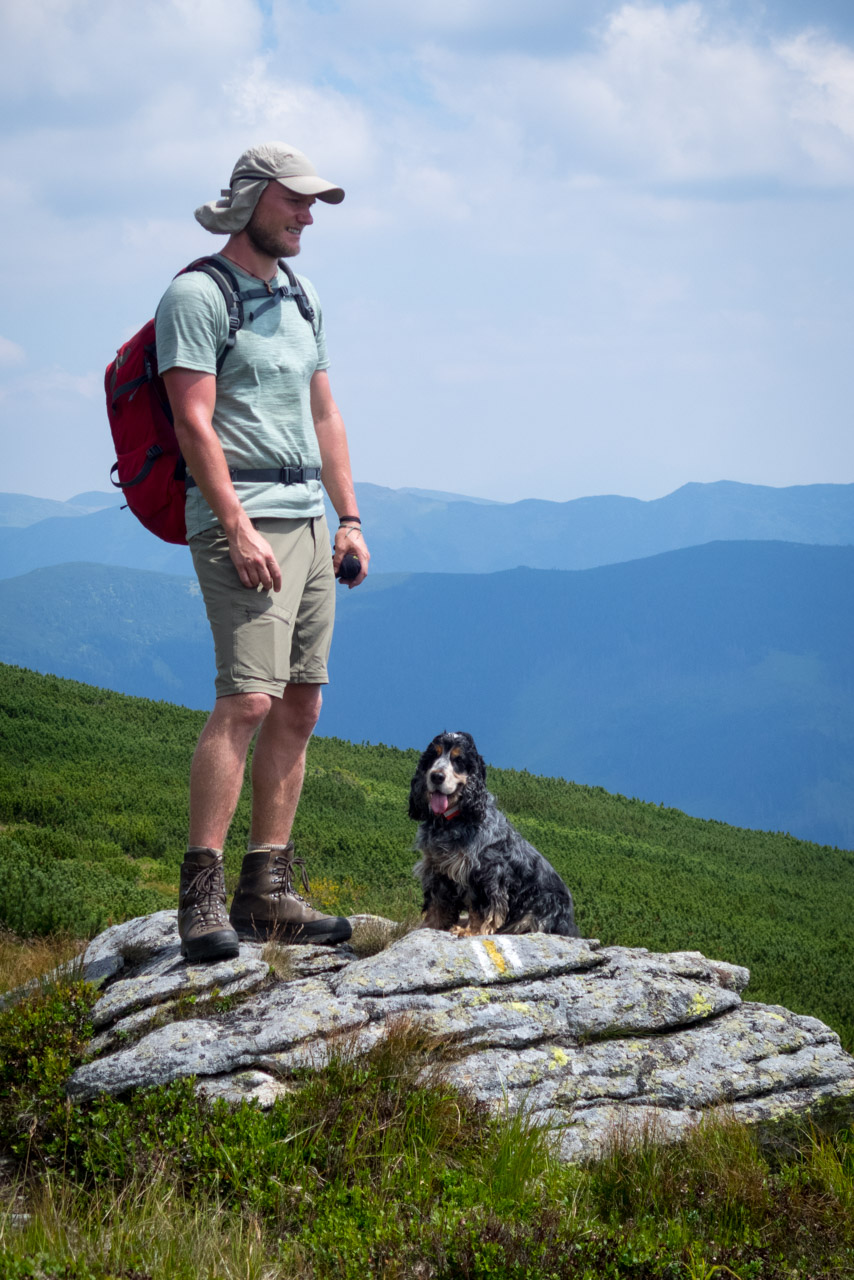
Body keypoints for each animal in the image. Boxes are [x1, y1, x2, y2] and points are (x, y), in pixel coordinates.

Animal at [409, 732, 581, 942]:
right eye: (434, 755)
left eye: (459, 760)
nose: (436, 776)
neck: (451, 820)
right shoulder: (437, 870)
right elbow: (437, 903)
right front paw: (430, 926)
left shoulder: (485, 874)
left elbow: (482, 909)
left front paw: (471, 931)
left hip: (544, 904)